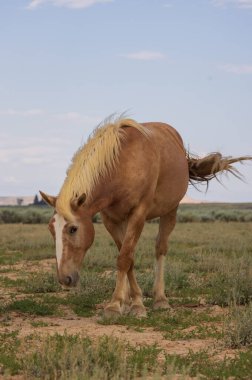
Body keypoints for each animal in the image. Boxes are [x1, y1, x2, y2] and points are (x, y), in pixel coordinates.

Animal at [40, 116, 251, 318]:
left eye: (73, 229)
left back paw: (160, 299)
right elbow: (127, 258)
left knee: (160, 249)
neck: (121, 165)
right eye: (51, 229)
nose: (64, 279)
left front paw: (120, 306)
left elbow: (124, 258)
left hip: (170, 211)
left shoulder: (138, 214)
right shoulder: (110, 220)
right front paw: (127, 302)